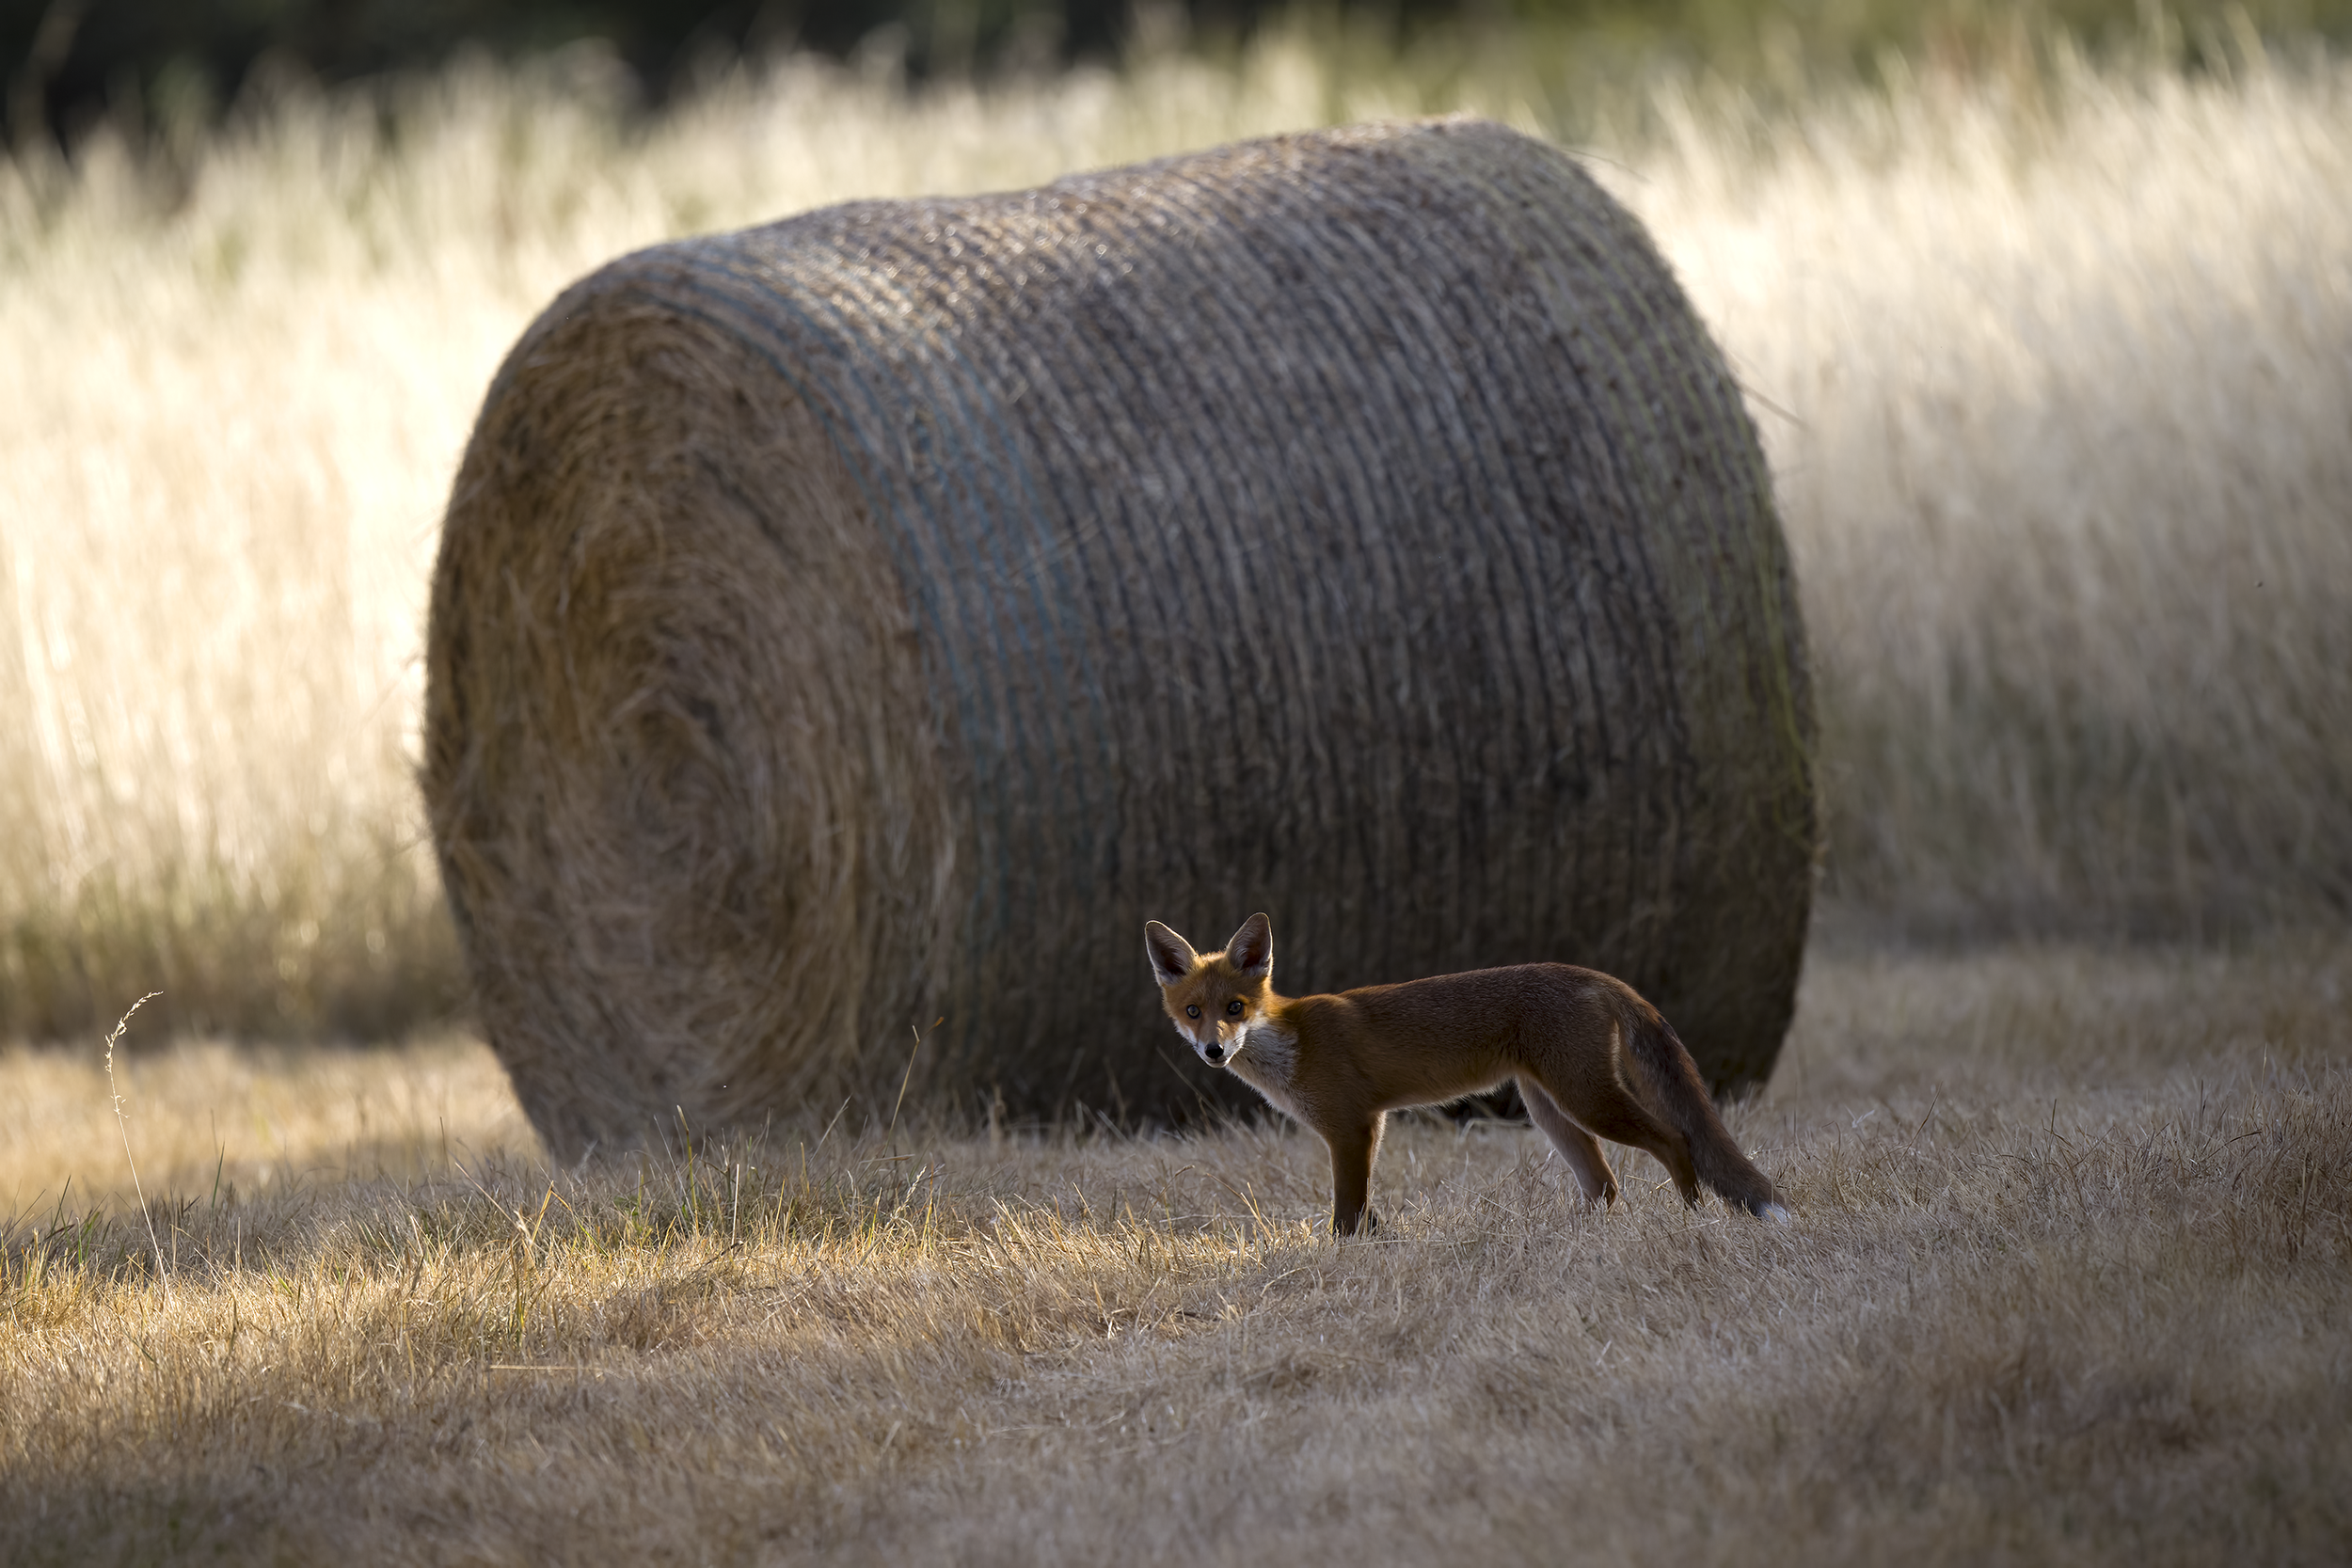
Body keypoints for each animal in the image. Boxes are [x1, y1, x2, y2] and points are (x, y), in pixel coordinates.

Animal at [1144, 912, 1789, 1235]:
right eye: (1193, 1012)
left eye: (1235, 1008)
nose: (1214, 1052)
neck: (1290, 1043)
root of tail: (1596, 976)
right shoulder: (1371, 1127)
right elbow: (1367, 1213)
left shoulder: (1352, 1128)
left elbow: (1345, 1216)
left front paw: (1343, 1259)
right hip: (1551, 1109)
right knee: (1606, 1185)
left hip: (1586, 1098)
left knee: (1676, 1140)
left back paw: (1692, 1215)